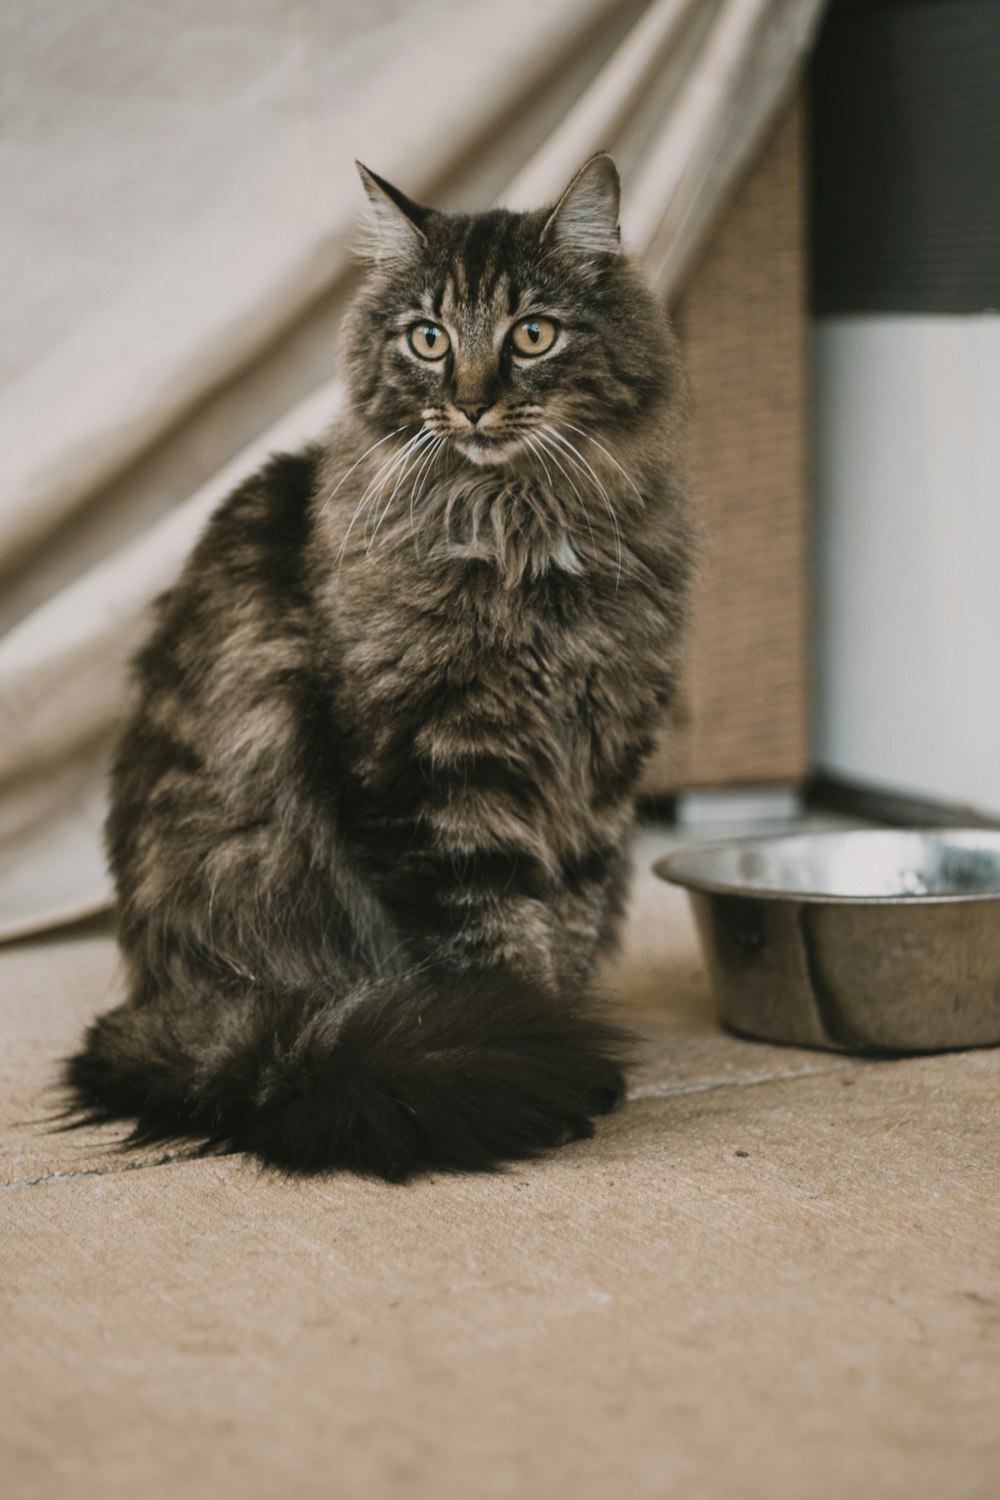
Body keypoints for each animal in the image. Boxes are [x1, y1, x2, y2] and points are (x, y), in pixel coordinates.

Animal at [66, 152, 692, 1182]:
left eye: (532, 333)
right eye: (429, 339)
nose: (471, 400)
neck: (521, 535)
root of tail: (165, 1003)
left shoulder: (599, 772)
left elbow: (563, 919)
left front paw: (565, 1050)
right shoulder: (431, 775)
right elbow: (494, 942)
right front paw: (545, 1063)